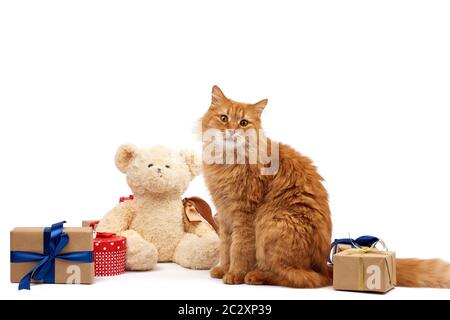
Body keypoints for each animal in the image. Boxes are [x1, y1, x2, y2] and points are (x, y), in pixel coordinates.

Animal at [201, 85, 450, 288]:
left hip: (271, 224)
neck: (227, 162)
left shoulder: (244, 215)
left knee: (303, 278)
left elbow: (238, 249)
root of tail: (324, 264)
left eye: (243, 123)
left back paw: (256, 276)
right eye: (224, 118)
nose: (232, 131)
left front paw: (234, 274)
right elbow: (226, 247)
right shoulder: (225, 214)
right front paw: (222, 269)